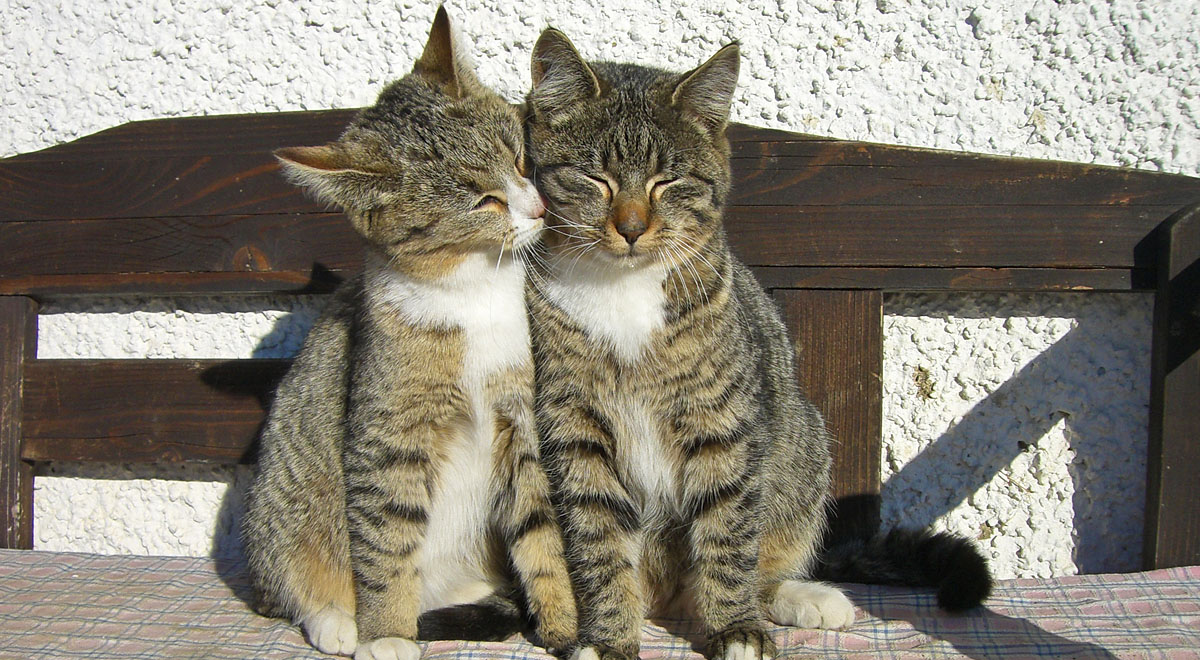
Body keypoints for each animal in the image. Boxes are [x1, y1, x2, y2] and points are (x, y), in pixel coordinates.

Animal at [241, 10, 573, 660]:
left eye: (522, 159)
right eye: (483, 199)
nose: (540, 210)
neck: (473, 290)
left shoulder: (522, 416)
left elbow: (541, 528)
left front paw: (569, 624)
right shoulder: (388, 432)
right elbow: (386, 540)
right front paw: (388, 633)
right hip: (283, 520)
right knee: (296, 578)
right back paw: (339, 620)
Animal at [520, 28, 988, 660]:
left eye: (669, 181)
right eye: (596, 179)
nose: (633, 226)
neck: (622, 287)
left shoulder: (724, 423)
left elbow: (728, 532)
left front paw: (735, 628)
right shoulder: (575, 430)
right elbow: (598, 540)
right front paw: (610, 637)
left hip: (804, 444)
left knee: (763, 557)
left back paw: (800, 597)